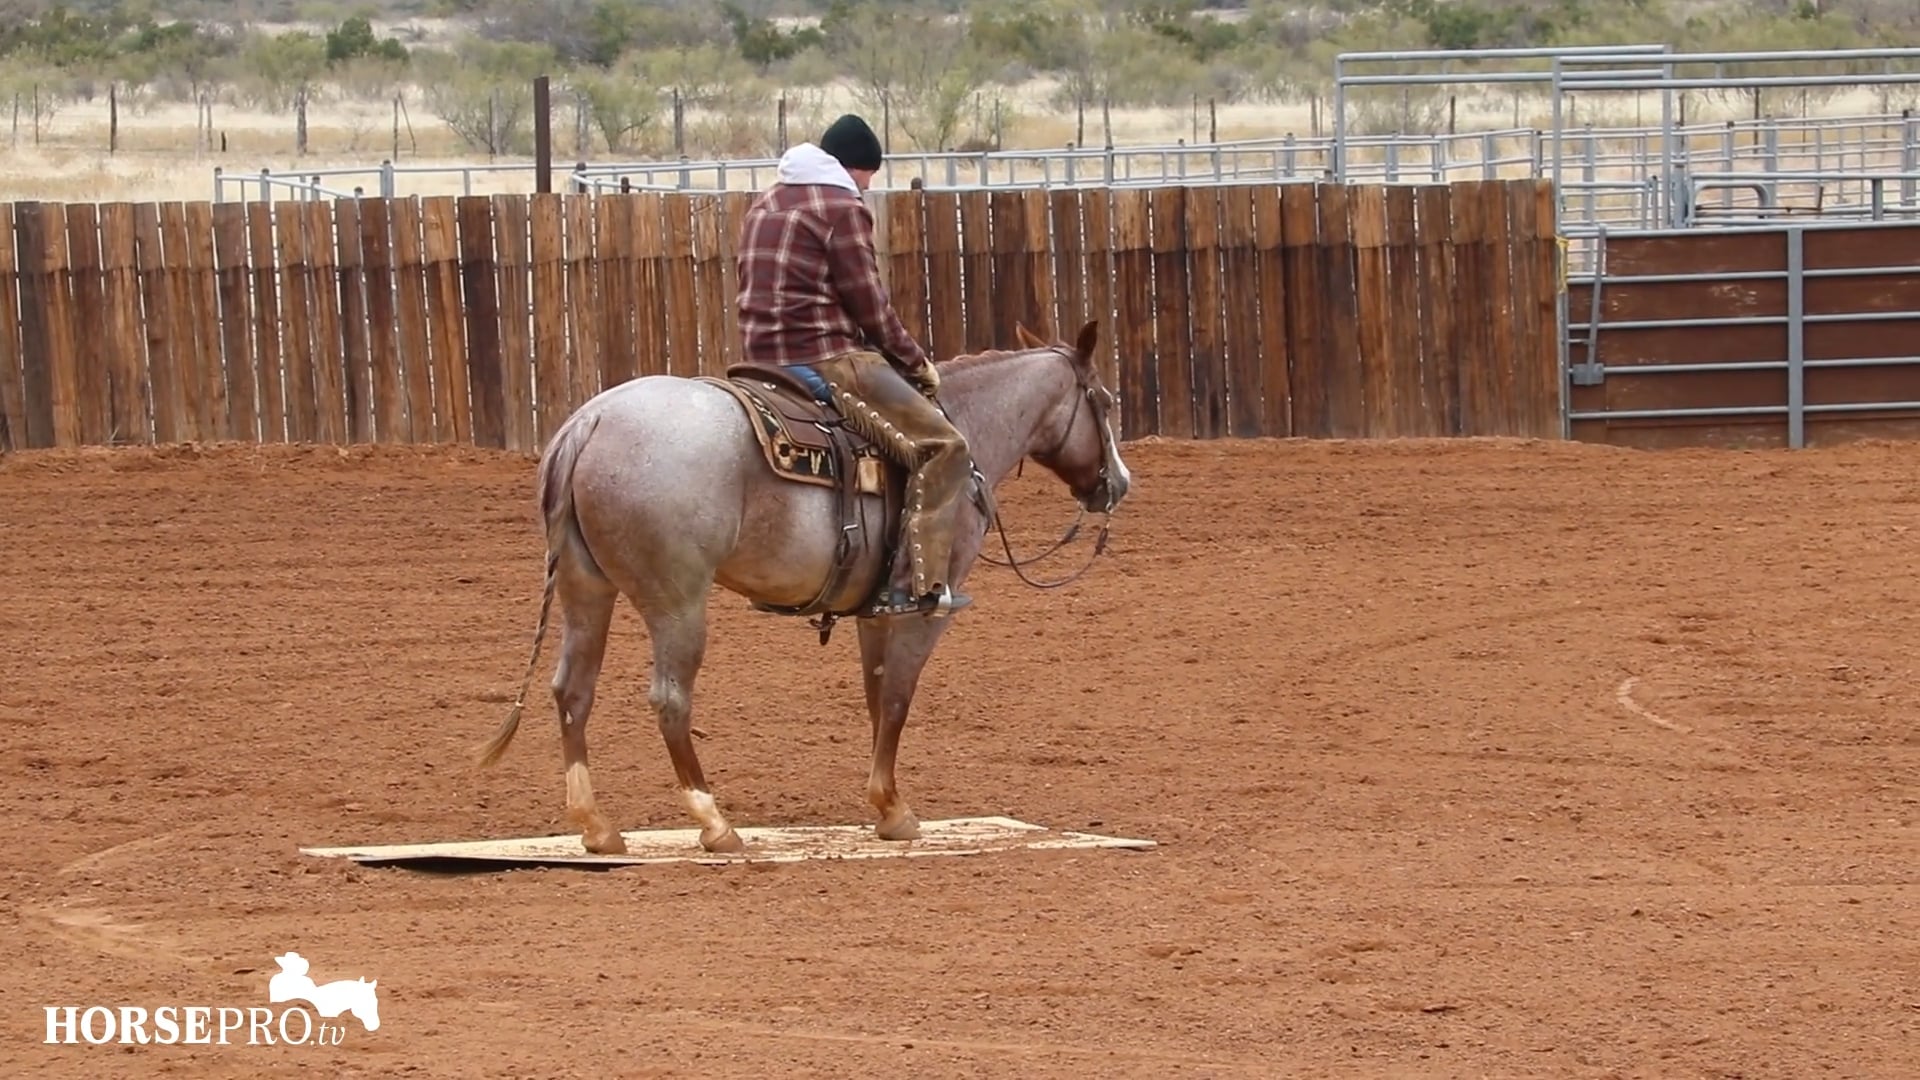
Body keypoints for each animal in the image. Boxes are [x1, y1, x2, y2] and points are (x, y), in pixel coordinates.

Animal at [474, 318, 1132, 855]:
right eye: (1103, 400)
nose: (1120, 483)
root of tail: (590, 422)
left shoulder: (877, 611)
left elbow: (876, 695)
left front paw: (884, 805)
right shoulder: (926, 609)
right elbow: (899, 697)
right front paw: (896, 811)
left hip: (586, 589)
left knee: (572, 691)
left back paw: (597, 826)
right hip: (676, 602)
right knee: (669, 699)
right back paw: (715, 824)